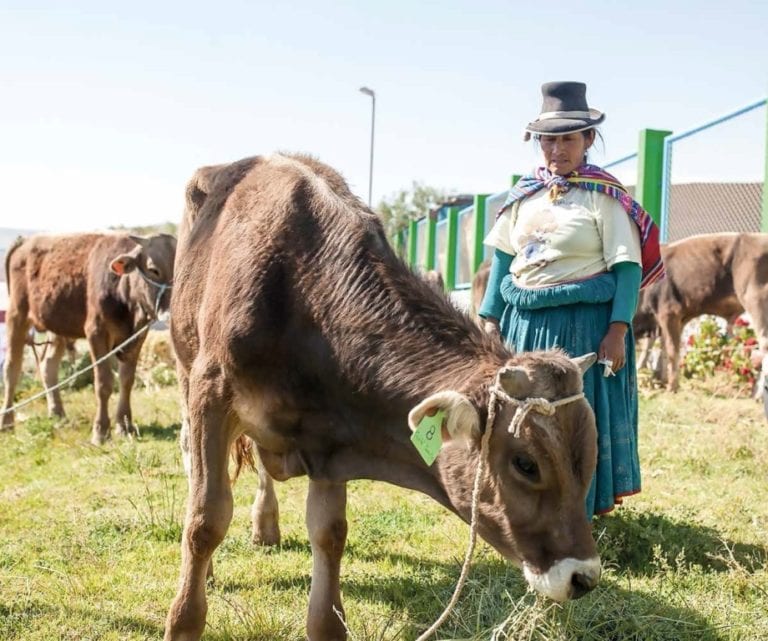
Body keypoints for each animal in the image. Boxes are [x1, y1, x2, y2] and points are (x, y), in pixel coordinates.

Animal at [1, 231, 176, 444]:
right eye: (153, 270)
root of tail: (26, 241)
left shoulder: (137, 336)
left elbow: (127, 380)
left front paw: (125, 425)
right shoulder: (96, 332)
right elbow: (103, 383)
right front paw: (101, 431)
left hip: (58, 325)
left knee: (48, 365)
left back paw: (58, 414)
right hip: (16, 314)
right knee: (12, 369)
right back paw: (7, 422)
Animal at [165, 155, 604, 640]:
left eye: (591, 456)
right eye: (526, 464)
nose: (584, 577)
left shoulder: (329, 434)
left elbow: (329, 531)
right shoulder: (212, 395)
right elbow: (206, 518)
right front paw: (183, 620)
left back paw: (266, 525)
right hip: (186, 370)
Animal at [632, 232, 768, 388]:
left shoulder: (669, 313)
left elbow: (672, 351)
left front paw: (672, 386)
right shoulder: (674, 320)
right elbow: (664, 349)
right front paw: (662, 380)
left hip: (756, 302)